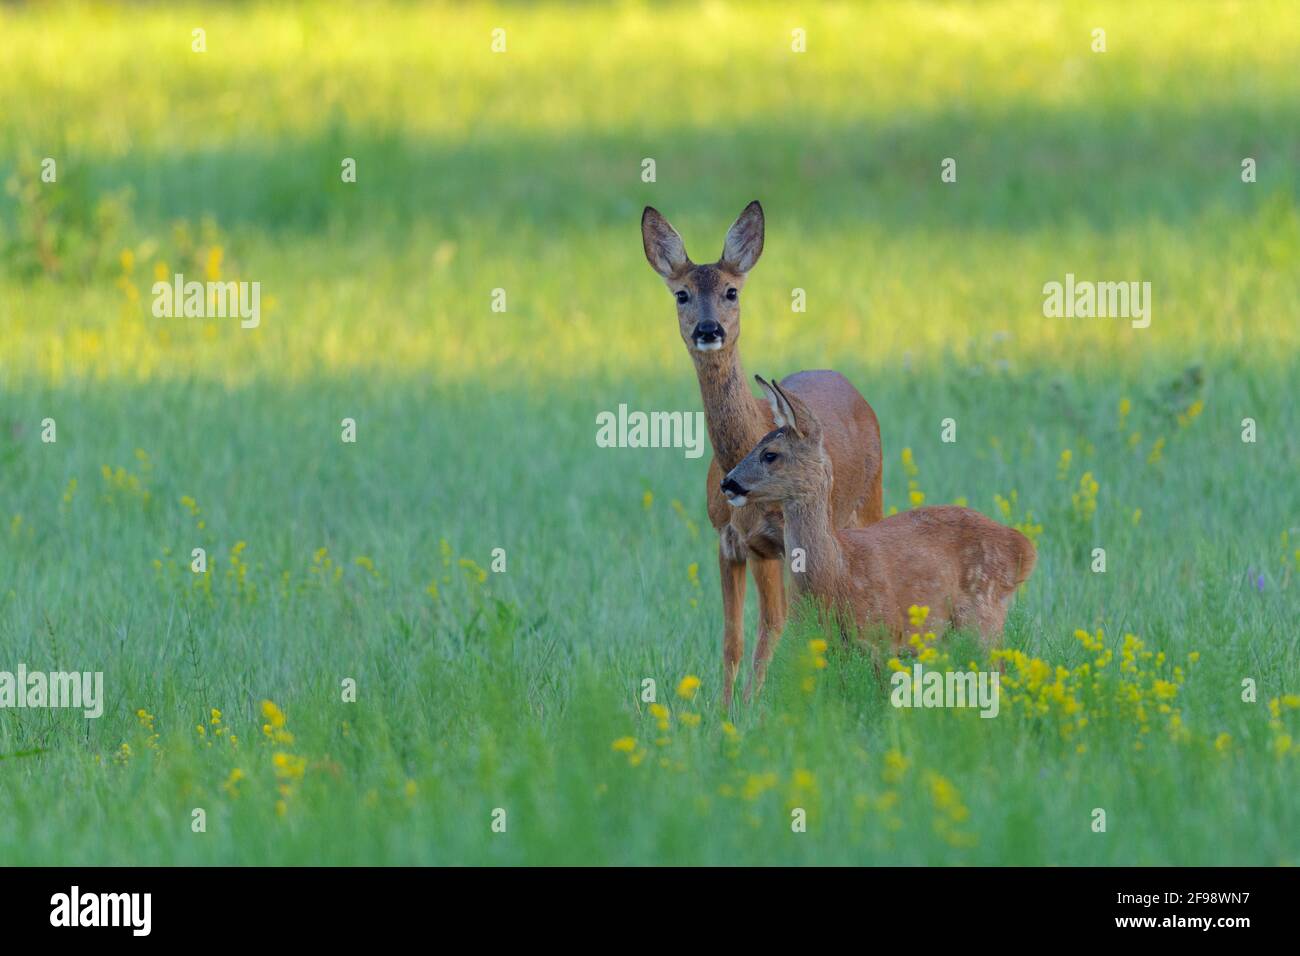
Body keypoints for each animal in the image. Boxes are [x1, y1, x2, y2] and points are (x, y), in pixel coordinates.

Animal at [639, 201, 883, 707]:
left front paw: (754, 707)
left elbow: (776, 626)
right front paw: (725, 709)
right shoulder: (729, 542)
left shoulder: (782, 544)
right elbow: (733, 637)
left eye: (731, 291)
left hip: (871, 498)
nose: (708, 329)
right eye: (681, 294)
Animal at [722, 377, 1034, 655]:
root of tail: (1023, 546)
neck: (837, 574)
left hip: (984, 614)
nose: (728, 483)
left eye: (770, 454)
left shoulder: (883, 636)